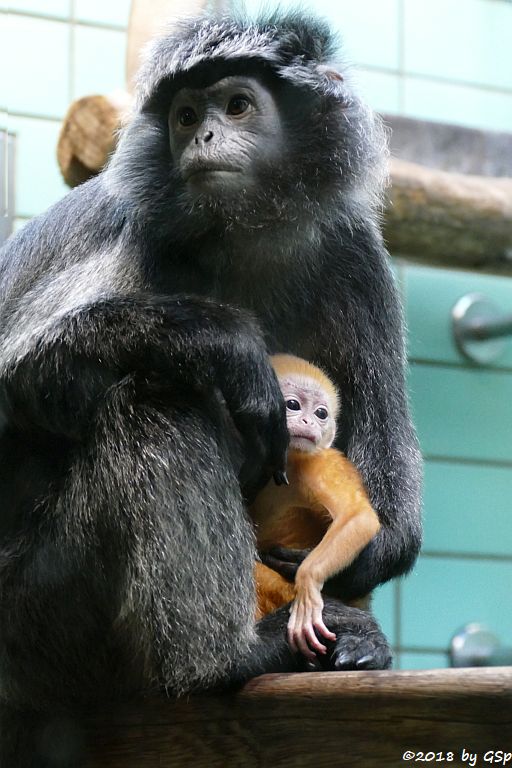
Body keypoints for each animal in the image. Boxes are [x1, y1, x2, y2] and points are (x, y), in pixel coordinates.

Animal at [252, 354, 380, 660]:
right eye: (293, 405)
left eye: (321, 413)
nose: (309, 421)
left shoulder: (316, 461)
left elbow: (359, 517)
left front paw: (308, 583)